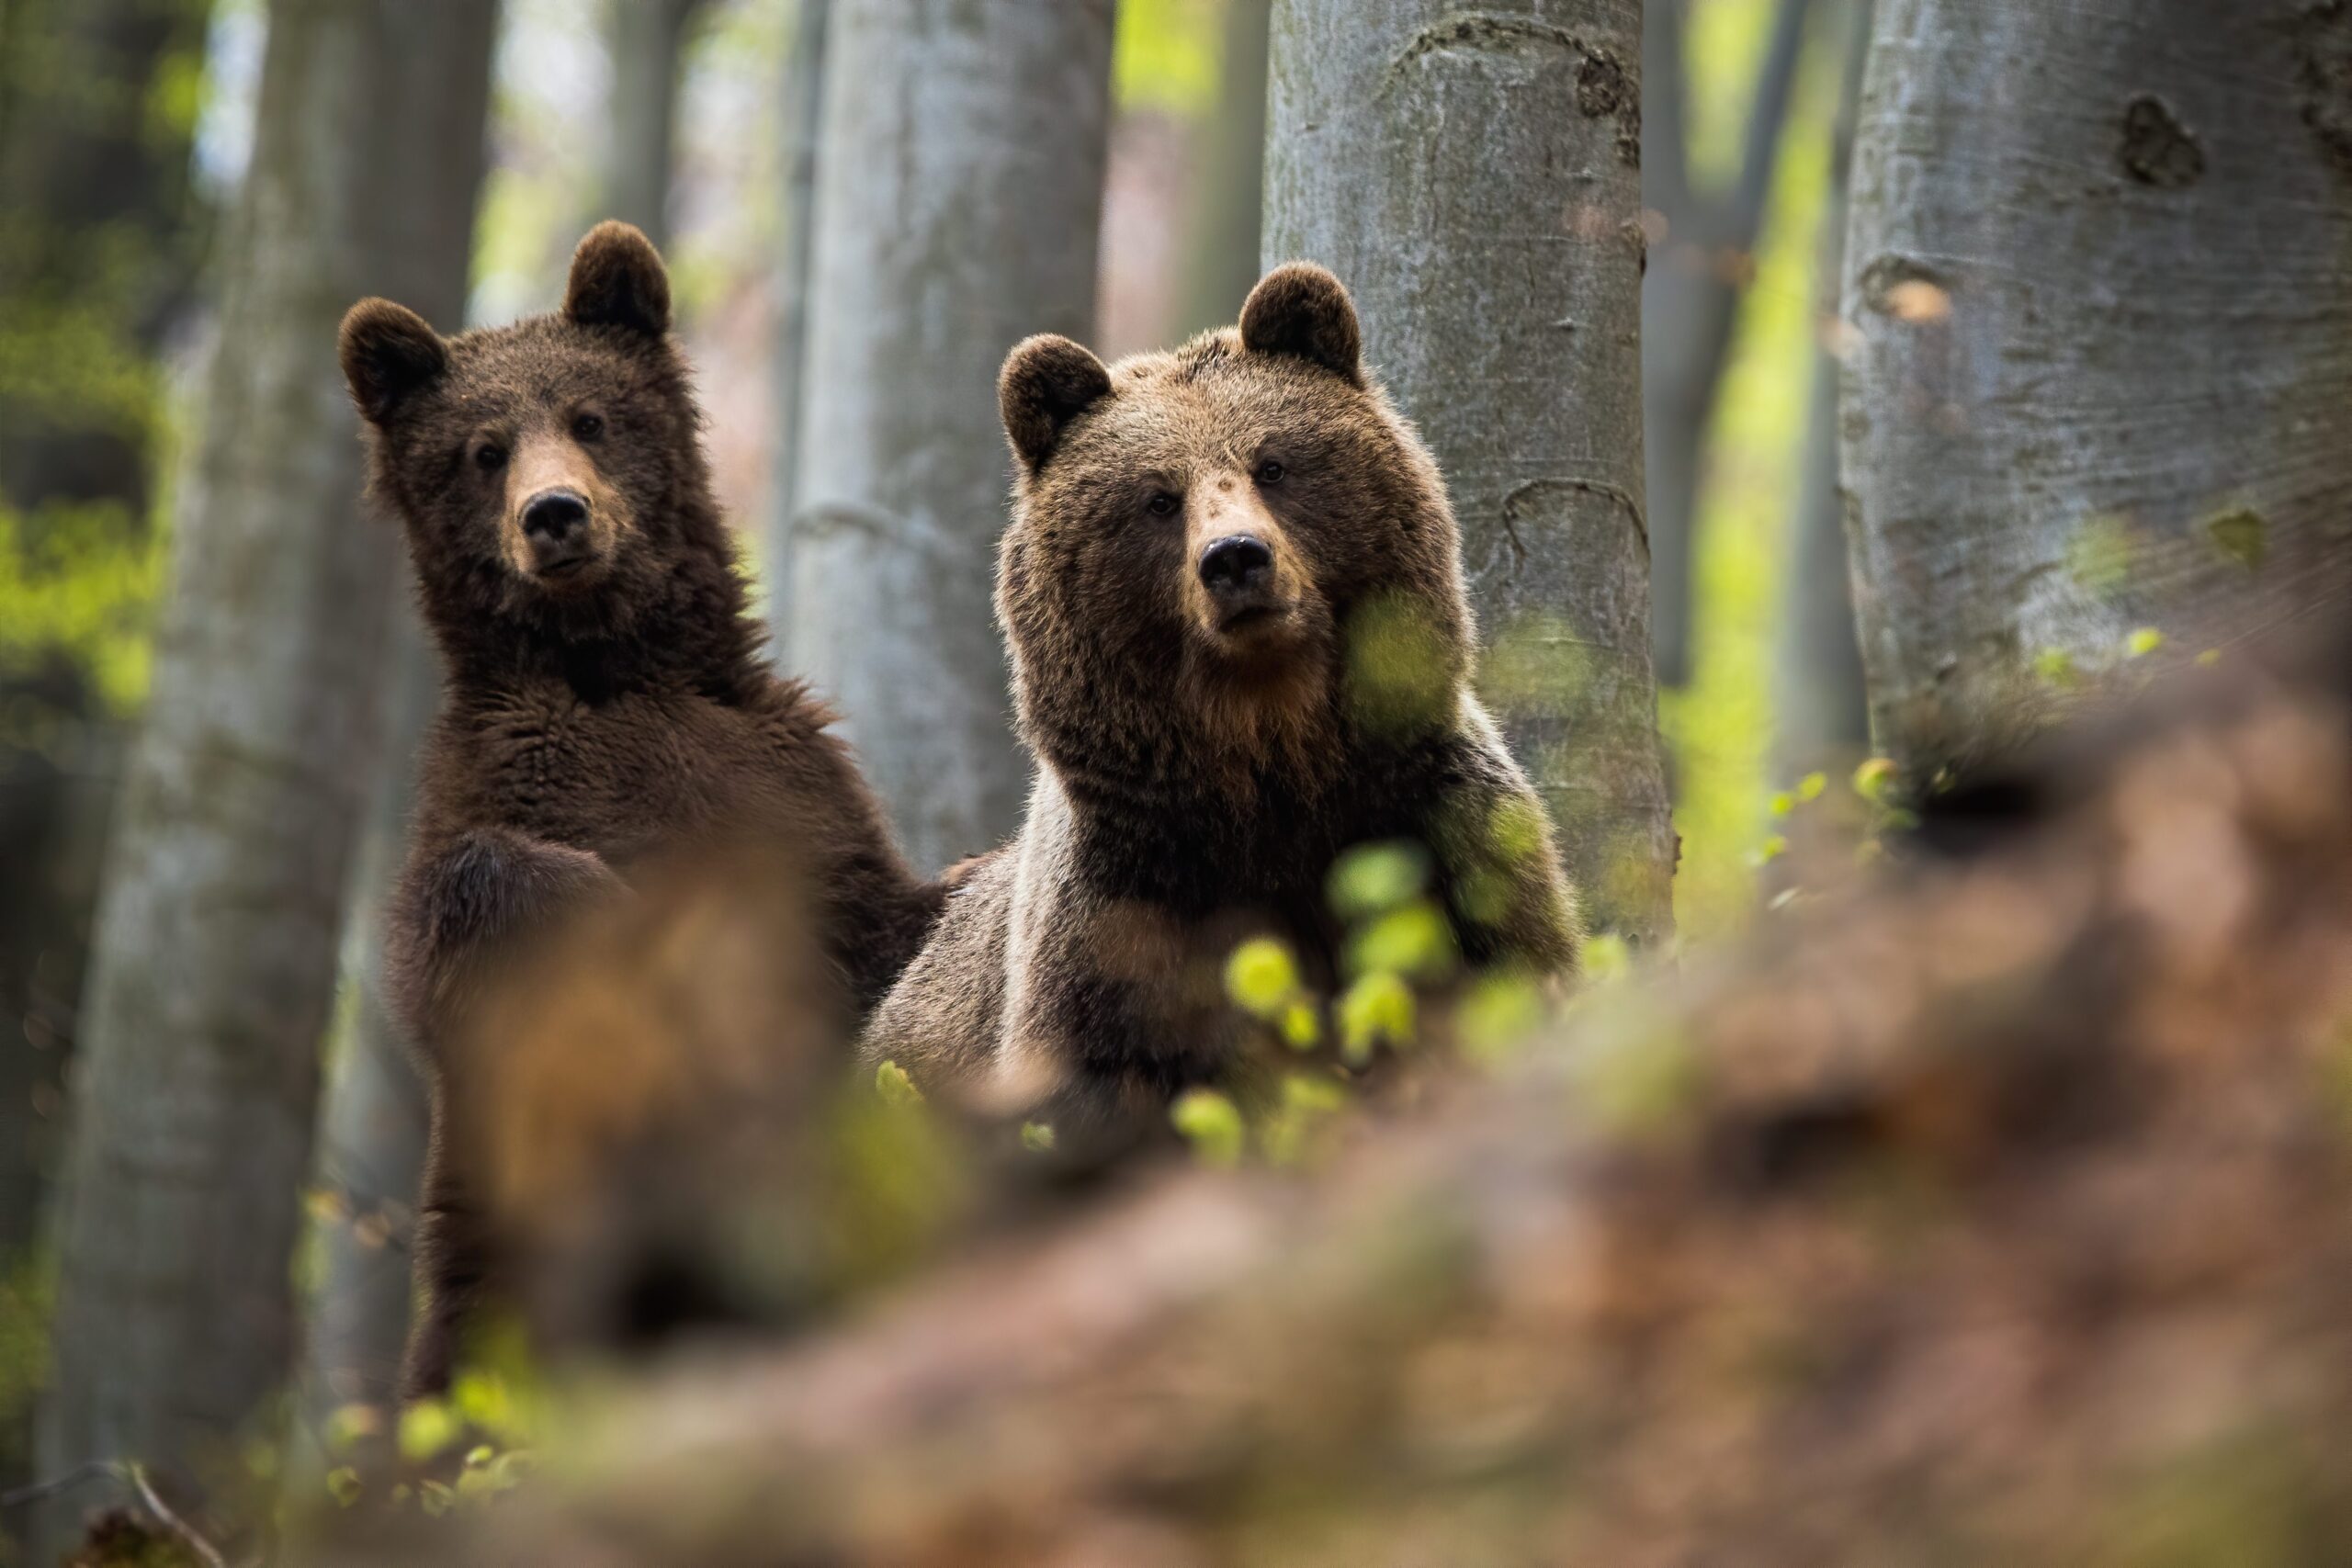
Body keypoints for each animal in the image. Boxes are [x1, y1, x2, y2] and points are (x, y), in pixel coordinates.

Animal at [341, 220, 945, 1401]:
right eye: (483, 448)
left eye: (590, 416)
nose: (555, 515)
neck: (614, 669)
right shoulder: (506, 787)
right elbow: (478, 913)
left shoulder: (789, 792)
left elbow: (882, 921)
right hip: (490, 1288)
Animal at [865, 263, 1580, 1146]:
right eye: (1157, 497)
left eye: (1273, 463)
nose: (1236, 558)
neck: (1271, 760)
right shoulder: (1123, 916)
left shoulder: (1442, 836)